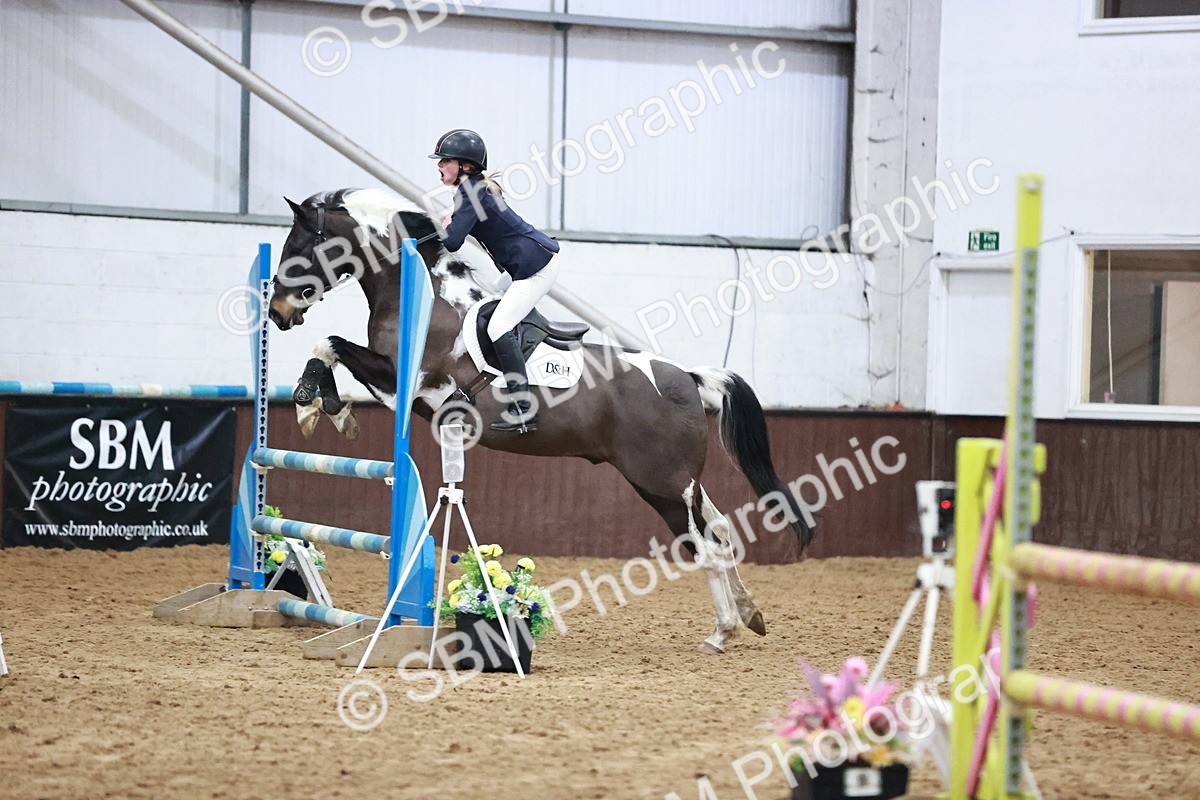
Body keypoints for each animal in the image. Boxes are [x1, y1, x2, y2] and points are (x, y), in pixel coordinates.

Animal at [267, 188, 814, 653]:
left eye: (298, 246)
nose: (277, 313)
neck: (424, 294)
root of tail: (689, 377)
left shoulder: (406, 382)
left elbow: (330, 344)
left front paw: (316, 405)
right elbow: (331, 348)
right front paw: (323, 407)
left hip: (658, 482)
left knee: (705, 547)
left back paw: (722, 632)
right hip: (681, 483)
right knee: (720, 529)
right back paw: (749, 615)